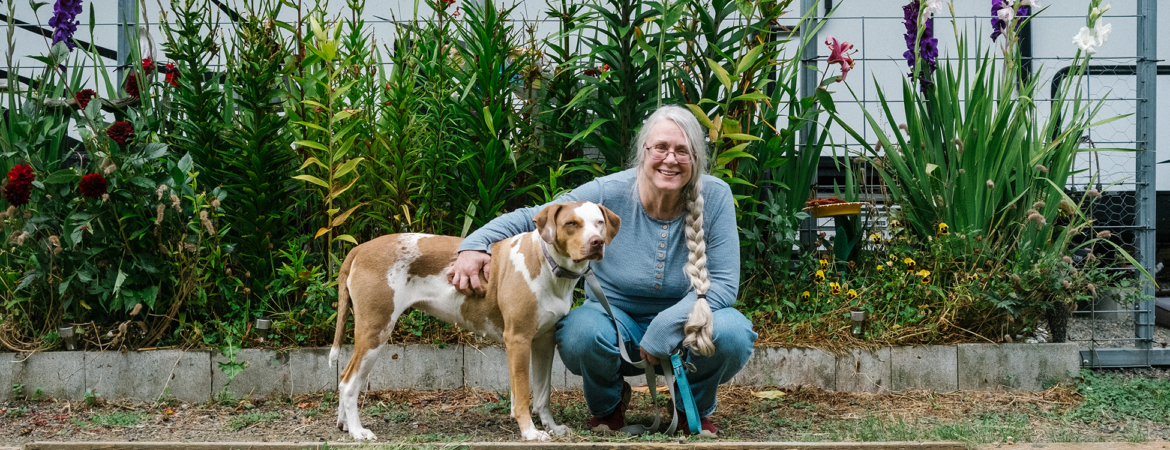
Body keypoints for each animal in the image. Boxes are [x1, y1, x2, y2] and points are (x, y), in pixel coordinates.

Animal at [329, 201, 622, 439]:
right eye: (571, 224)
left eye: (599, 222)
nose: (597, 242)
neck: (547, 264)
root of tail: (359, 249)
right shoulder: (518, 340)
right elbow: (522, 395)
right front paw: (529, 432)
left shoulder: (544, 341)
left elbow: (542, 393)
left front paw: (551, 427)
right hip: (375, 330)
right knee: (349, 382)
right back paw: (358, 431)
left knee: (343, 376)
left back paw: (344, 424)